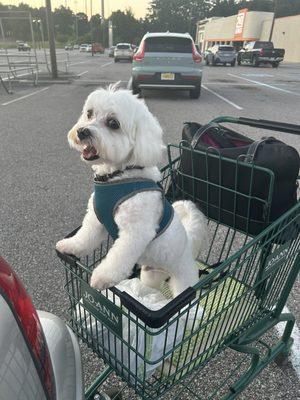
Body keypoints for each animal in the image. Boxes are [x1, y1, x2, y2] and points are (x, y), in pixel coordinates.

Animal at [55, 85, 207, 296]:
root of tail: (188, 243)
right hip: (151, 273)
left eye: (113, 123)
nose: (82, 131)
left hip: (184, 278)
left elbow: (119, 256)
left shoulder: (135, 231)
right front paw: (71, 246)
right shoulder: (96, 220)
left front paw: (103, 276)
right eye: (89, 113)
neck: (118, 175)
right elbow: (85, 236)